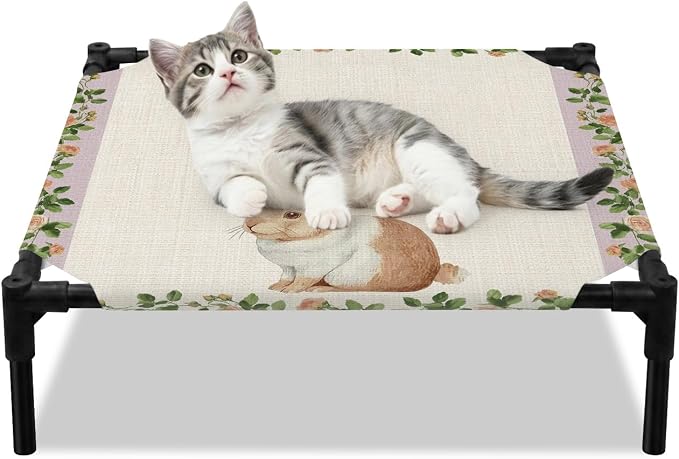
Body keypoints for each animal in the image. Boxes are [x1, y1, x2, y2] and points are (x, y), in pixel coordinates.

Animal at [243, 209, 464, 293]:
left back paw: (321, 289)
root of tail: (432, 272)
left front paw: (288, 291)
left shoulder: (313, 268)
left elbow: (301, 281)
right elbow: (285, 277)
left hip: (348, 273)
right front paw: (276, 287)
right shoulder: (288, 268)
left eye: (292, 214)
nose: (249, 224)